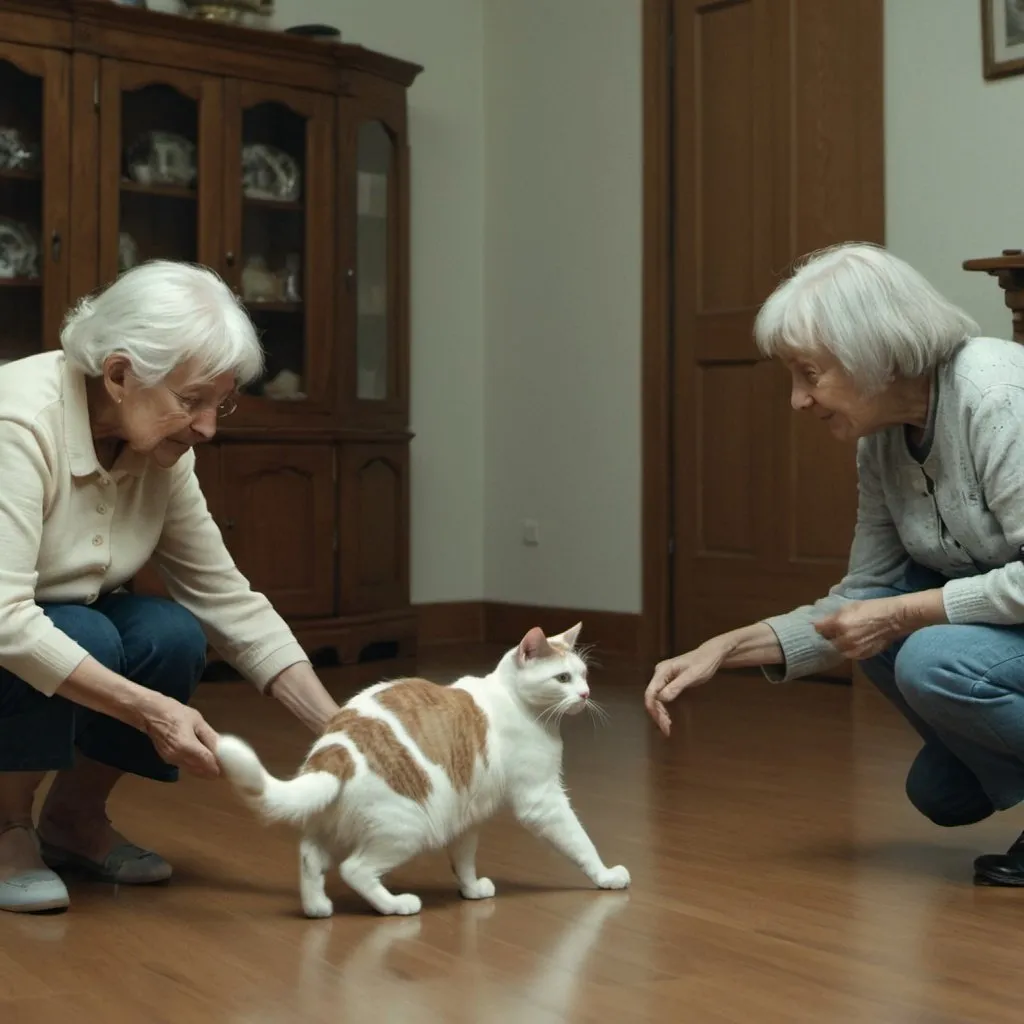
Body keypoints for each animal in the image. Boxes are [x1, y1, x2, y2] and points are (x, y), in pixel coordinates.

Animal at [218, 622, 630, 921]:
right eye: (563, 679)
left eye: (584, 674)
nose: (585, 694)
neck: (514, 701)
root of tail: (335, 752)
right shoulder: (542, 800)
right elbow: (580, 841)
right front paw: (606, 875)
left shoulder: (466, 815)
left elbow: (463, 859)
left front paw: (471, 890)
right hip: (405, 828)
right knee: (355, 870)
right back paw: (396, 905)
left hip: (331, 825)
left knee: (309, 857)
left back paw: (317, 908)